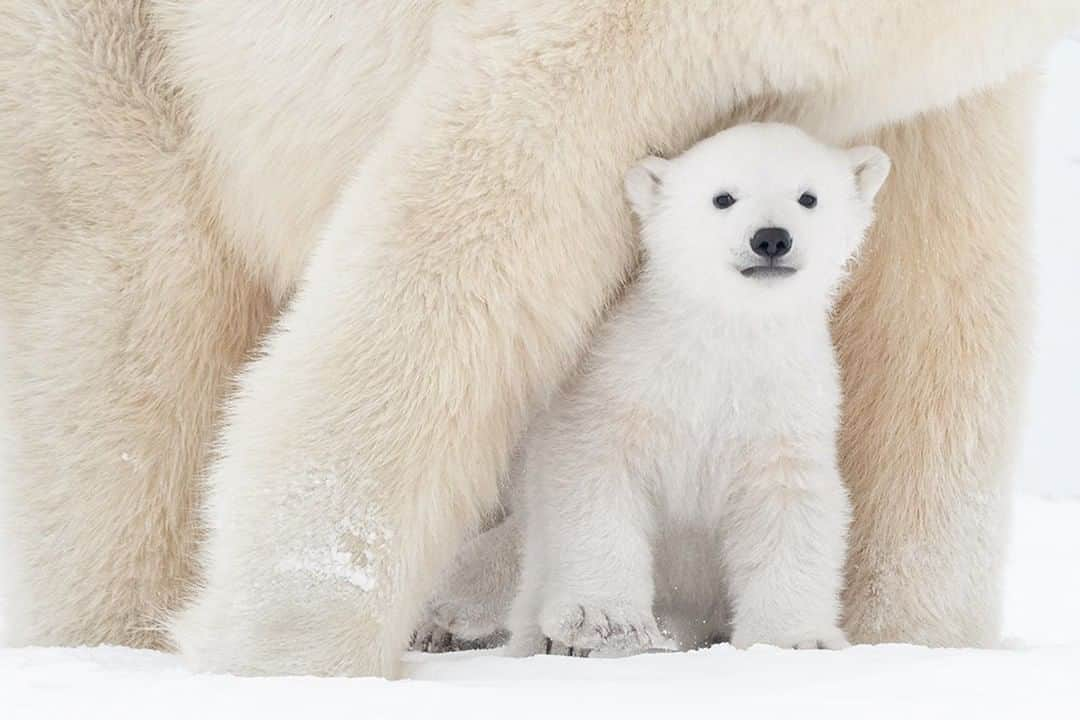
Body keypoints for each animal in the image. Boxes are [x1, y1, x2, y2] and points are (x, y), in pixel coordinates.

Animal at [0, 0, 1075, 677]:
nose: (772, 239)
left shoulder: (935, 86)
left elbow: (937, 296)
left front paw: (910, 641)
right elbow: (475, 224)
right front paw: (292, 652)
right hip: (116, 61)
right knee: (129, 312)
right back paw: (118, 630)